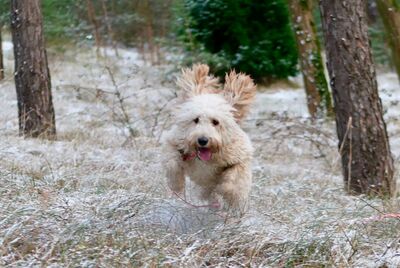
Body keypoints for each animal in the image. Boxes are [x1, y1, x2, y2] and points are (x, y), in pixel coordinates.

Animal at [165, 63, 256, 210]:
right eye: (196, 119)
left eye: (215, 122)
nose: (203, 140)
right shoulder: (173, 142)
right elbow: (172, 162)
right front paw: (176, 185)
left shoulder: (240, 156)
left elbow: (233, 179)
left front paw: (227, 192)